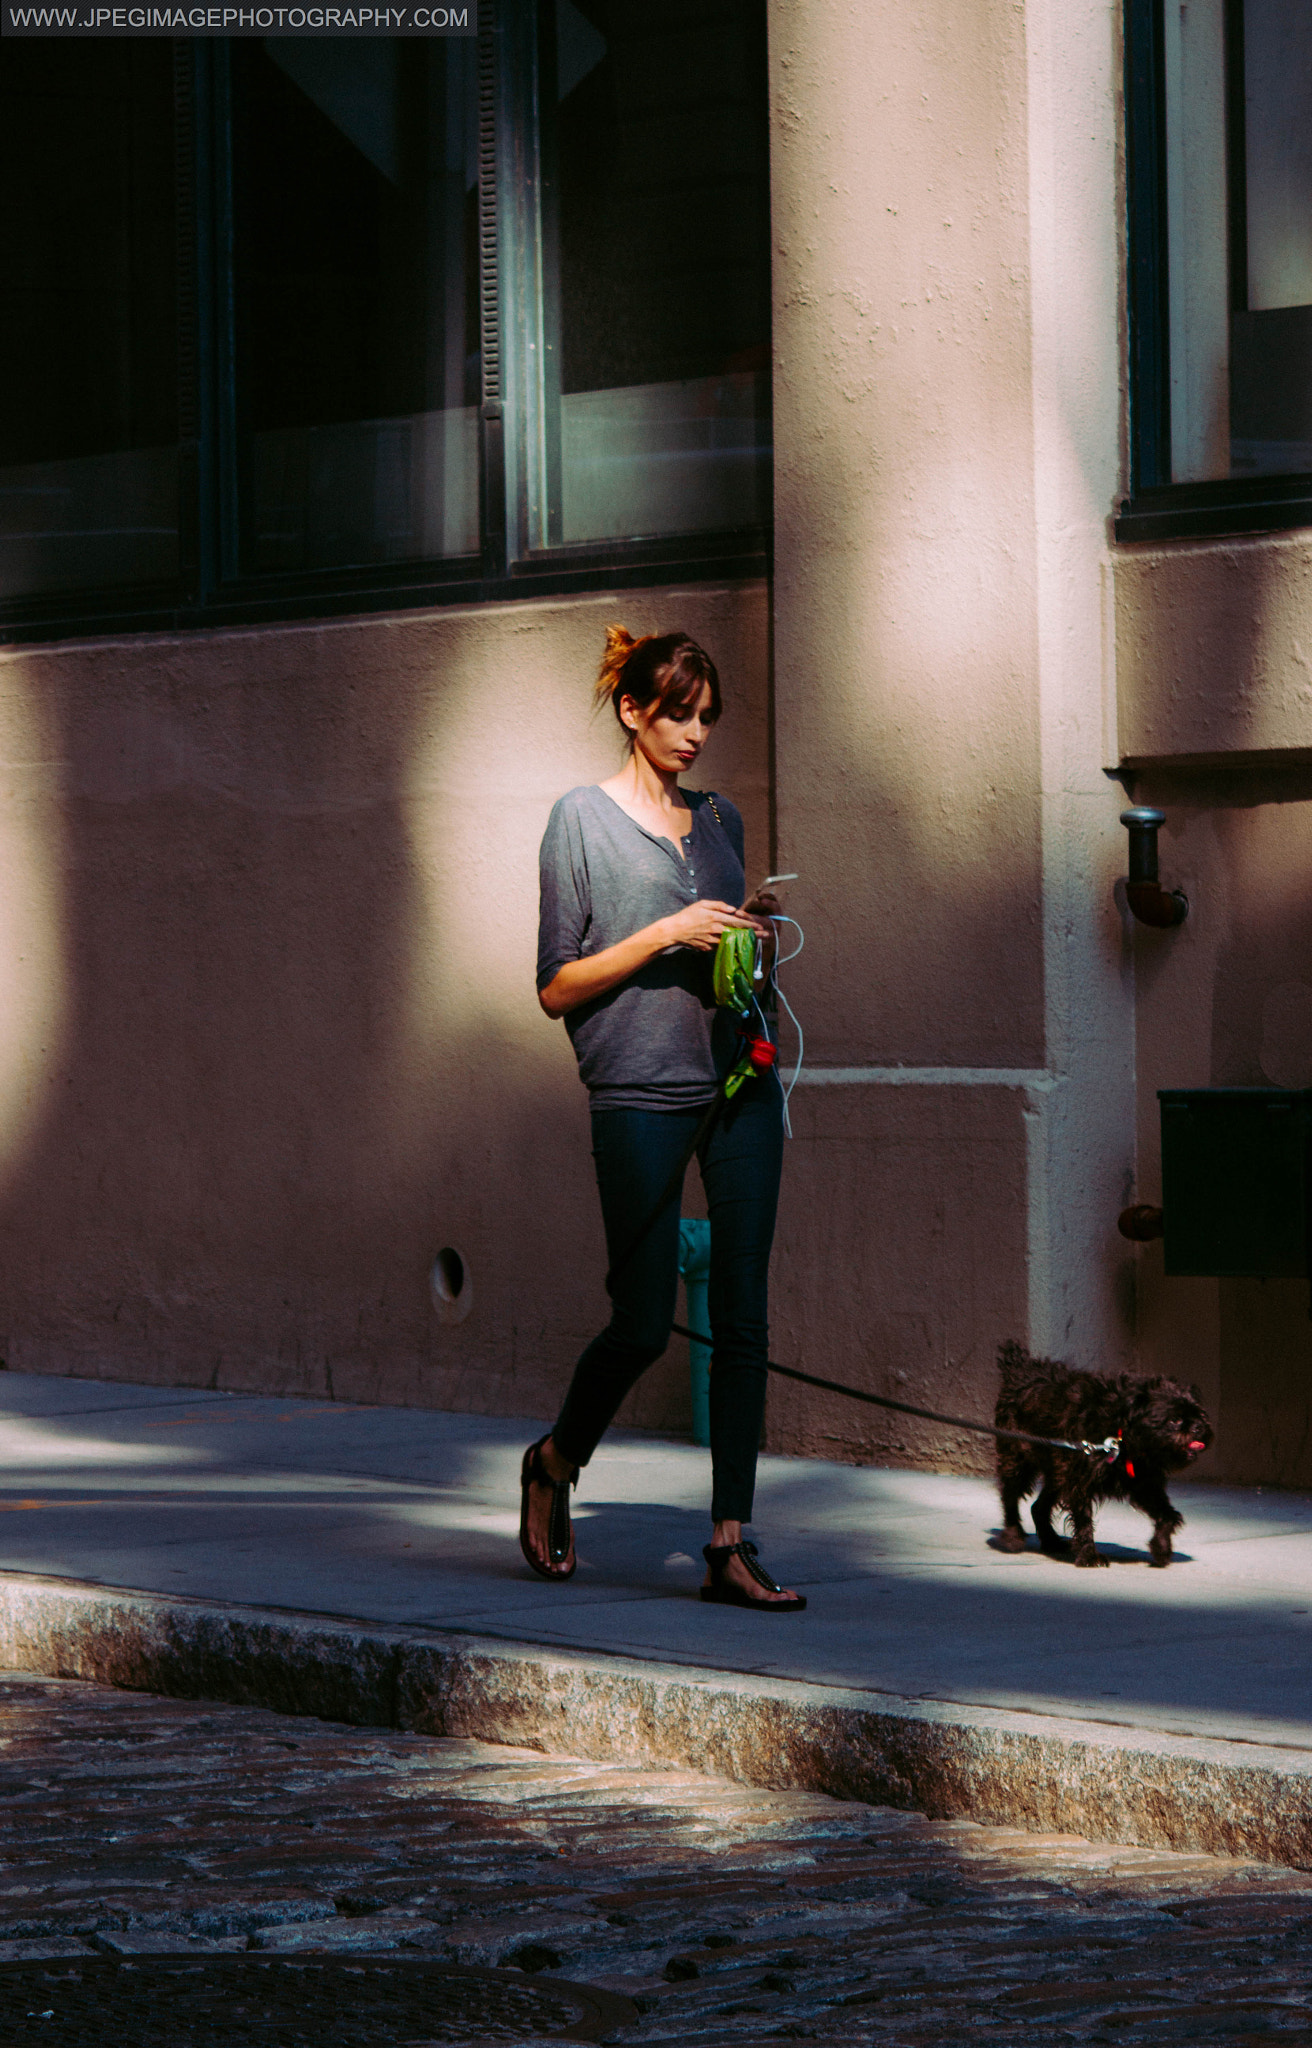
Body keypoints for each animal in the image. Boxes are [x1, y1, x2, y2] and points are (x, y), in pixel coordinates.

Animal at [998, 1343, 1211, 1564]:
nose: (1198, 1427)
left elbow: (1167, 1514)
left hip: (1057, 1471)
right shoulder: (1080, 1479)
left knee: (1038, 1506)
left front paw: (1161, 1547)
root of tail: (1020, 1372)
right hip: (1018, 1461)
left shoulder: (1144, 1482)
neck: (1121, 1430)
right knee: (1010, 1496)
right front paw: (1089, 1554)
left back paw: (1051, 1541)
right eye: (1174, 1420)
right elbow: (1083, 1518)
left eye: (1201, 1415)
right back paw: (1013, 1535)